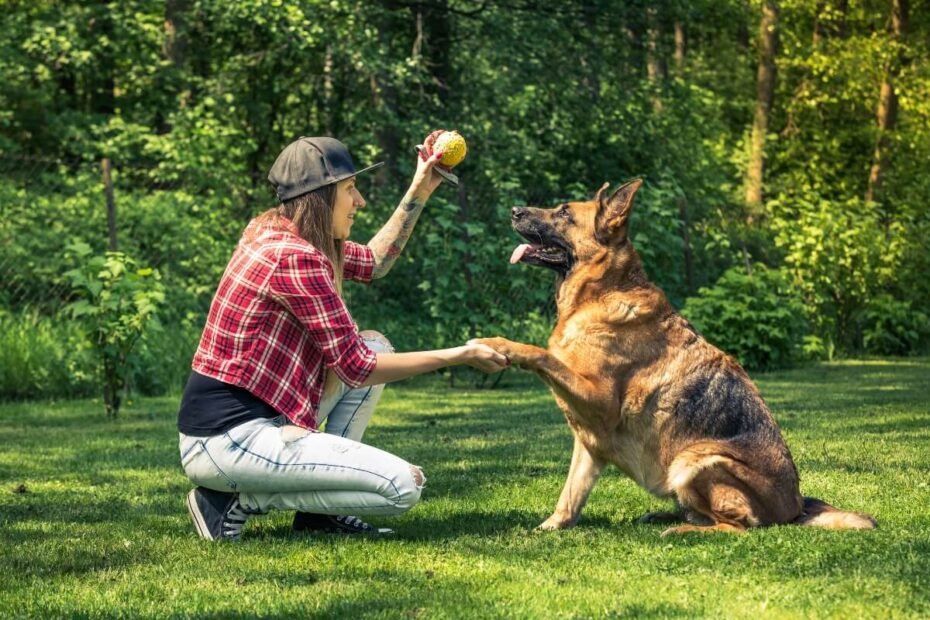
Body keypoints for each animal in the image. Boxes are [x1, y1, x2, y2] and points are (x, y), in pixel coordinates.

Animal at [474, 179, 872, 532]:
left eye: (564, 212)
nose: (514, 210)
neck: (601, 292)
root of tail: (796, 508)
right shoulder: (589, 443)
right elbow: (570, 496)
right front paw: (552, 526)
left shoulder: (599, 402)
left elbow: (542, 354)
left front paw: (501, 344)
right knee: (705, 516)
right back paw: (666, 516)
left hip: (694, 461)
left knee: (736, 526)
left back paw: (682, 529)